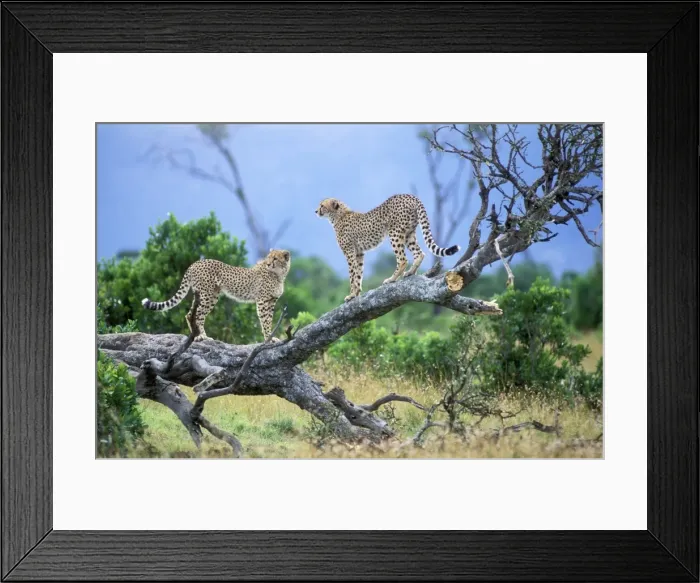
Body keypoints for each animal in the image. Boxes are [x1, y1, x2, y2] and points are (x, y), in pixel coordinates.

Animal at [141, 249, 291, 342]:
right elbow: (265, 320)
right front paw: (269, 338)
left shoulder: (271, 301)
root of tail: (196, 262)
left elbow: (269, 319)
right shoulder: (263, 301)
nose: (268, 263)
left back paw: (198, 336)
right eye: (268, 257)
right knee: (196, 315)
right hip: (207, 295)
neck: (279, 275)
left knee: (191, 314)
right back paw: (201, 336)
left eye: (275, 258)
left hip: (209, 295)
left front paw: (270, 337)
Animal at [315, 193, 460, 302]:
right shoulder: (359, 253)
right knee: (419, 253)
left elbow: (352, 274)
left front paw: (351, 295)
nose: (316, 211)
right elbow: (359, 274)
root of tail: (409, 195)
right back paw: (410, 272)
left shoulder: (349, 252)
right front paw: (356, 294)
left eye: (322, 205)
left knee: (402, 259)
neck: (338, 215)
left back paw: (391, 279)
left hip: (394, 234)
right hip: (409, 234)